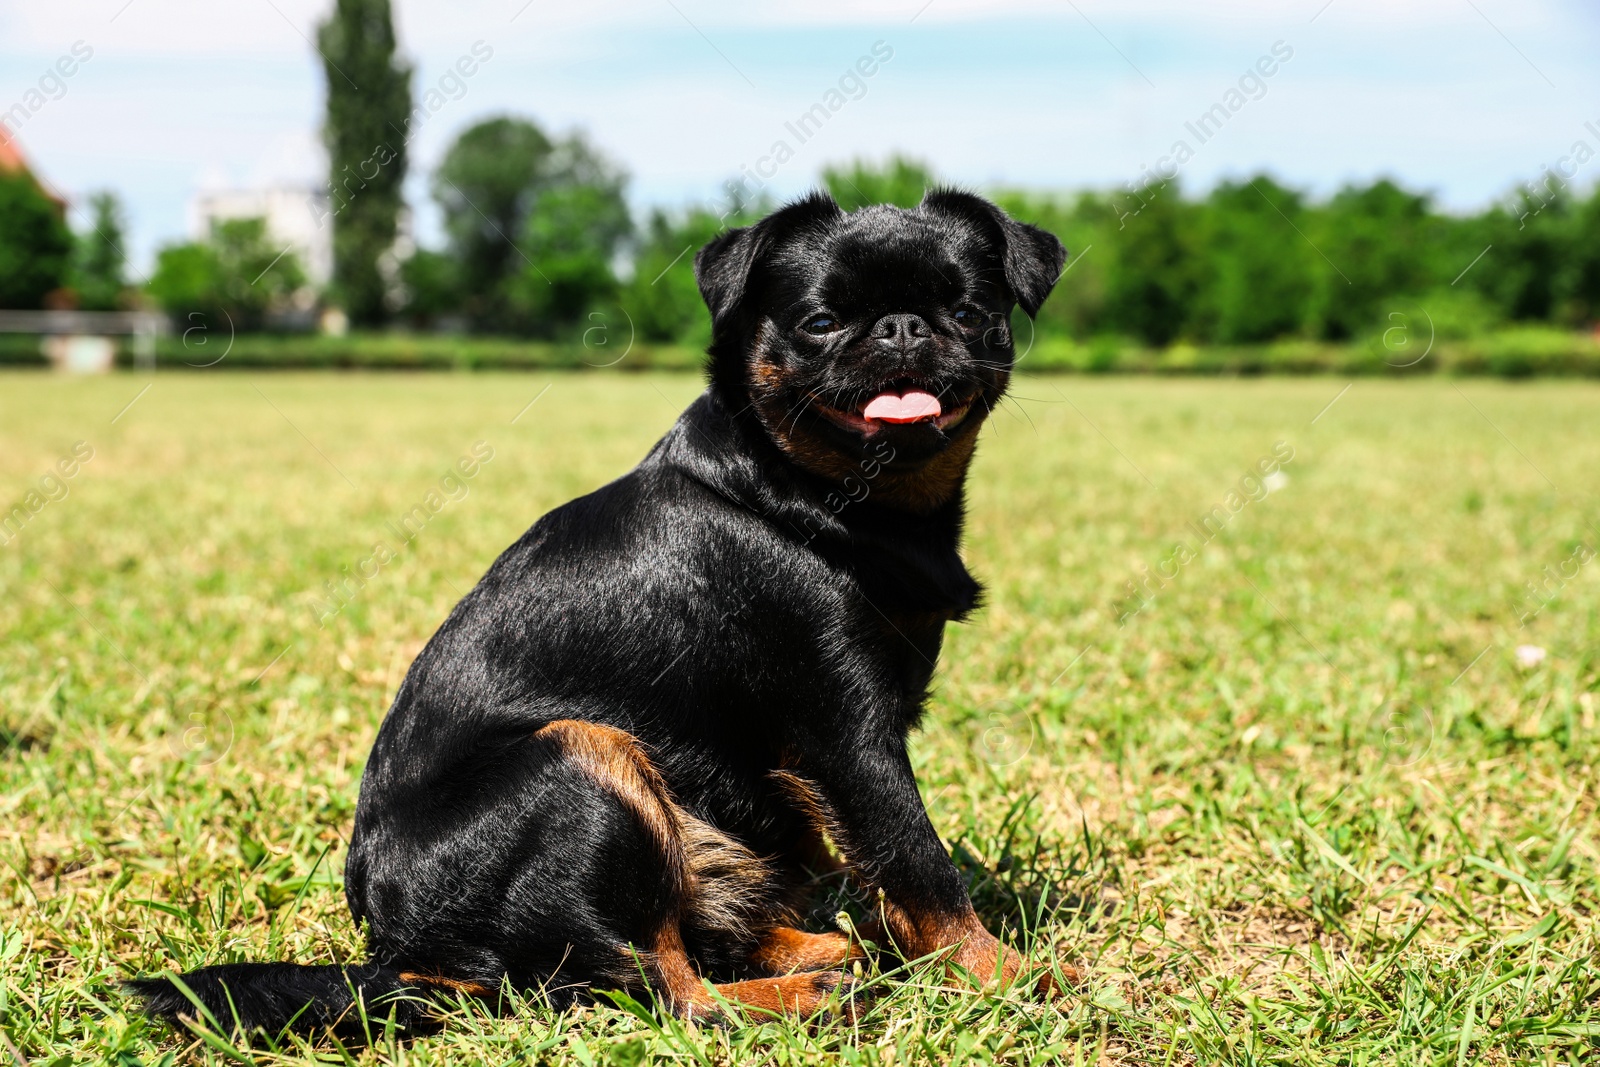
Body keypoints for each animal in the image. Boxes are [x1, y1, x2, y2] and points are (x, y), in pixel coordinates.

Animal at [134, 189, 1062, 1036]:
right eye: (823, 321)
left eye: (970, 313)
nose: (903, 328)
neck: (828, 497)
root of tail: (403, 956)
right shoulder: (847, 732)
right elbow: (917, 858)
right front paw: (1005, 975)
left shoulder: (823, 748)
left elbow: (848, 852)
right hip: (581, 758)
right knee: (659, 990)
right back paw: (803, 993)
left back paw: (817, 950)